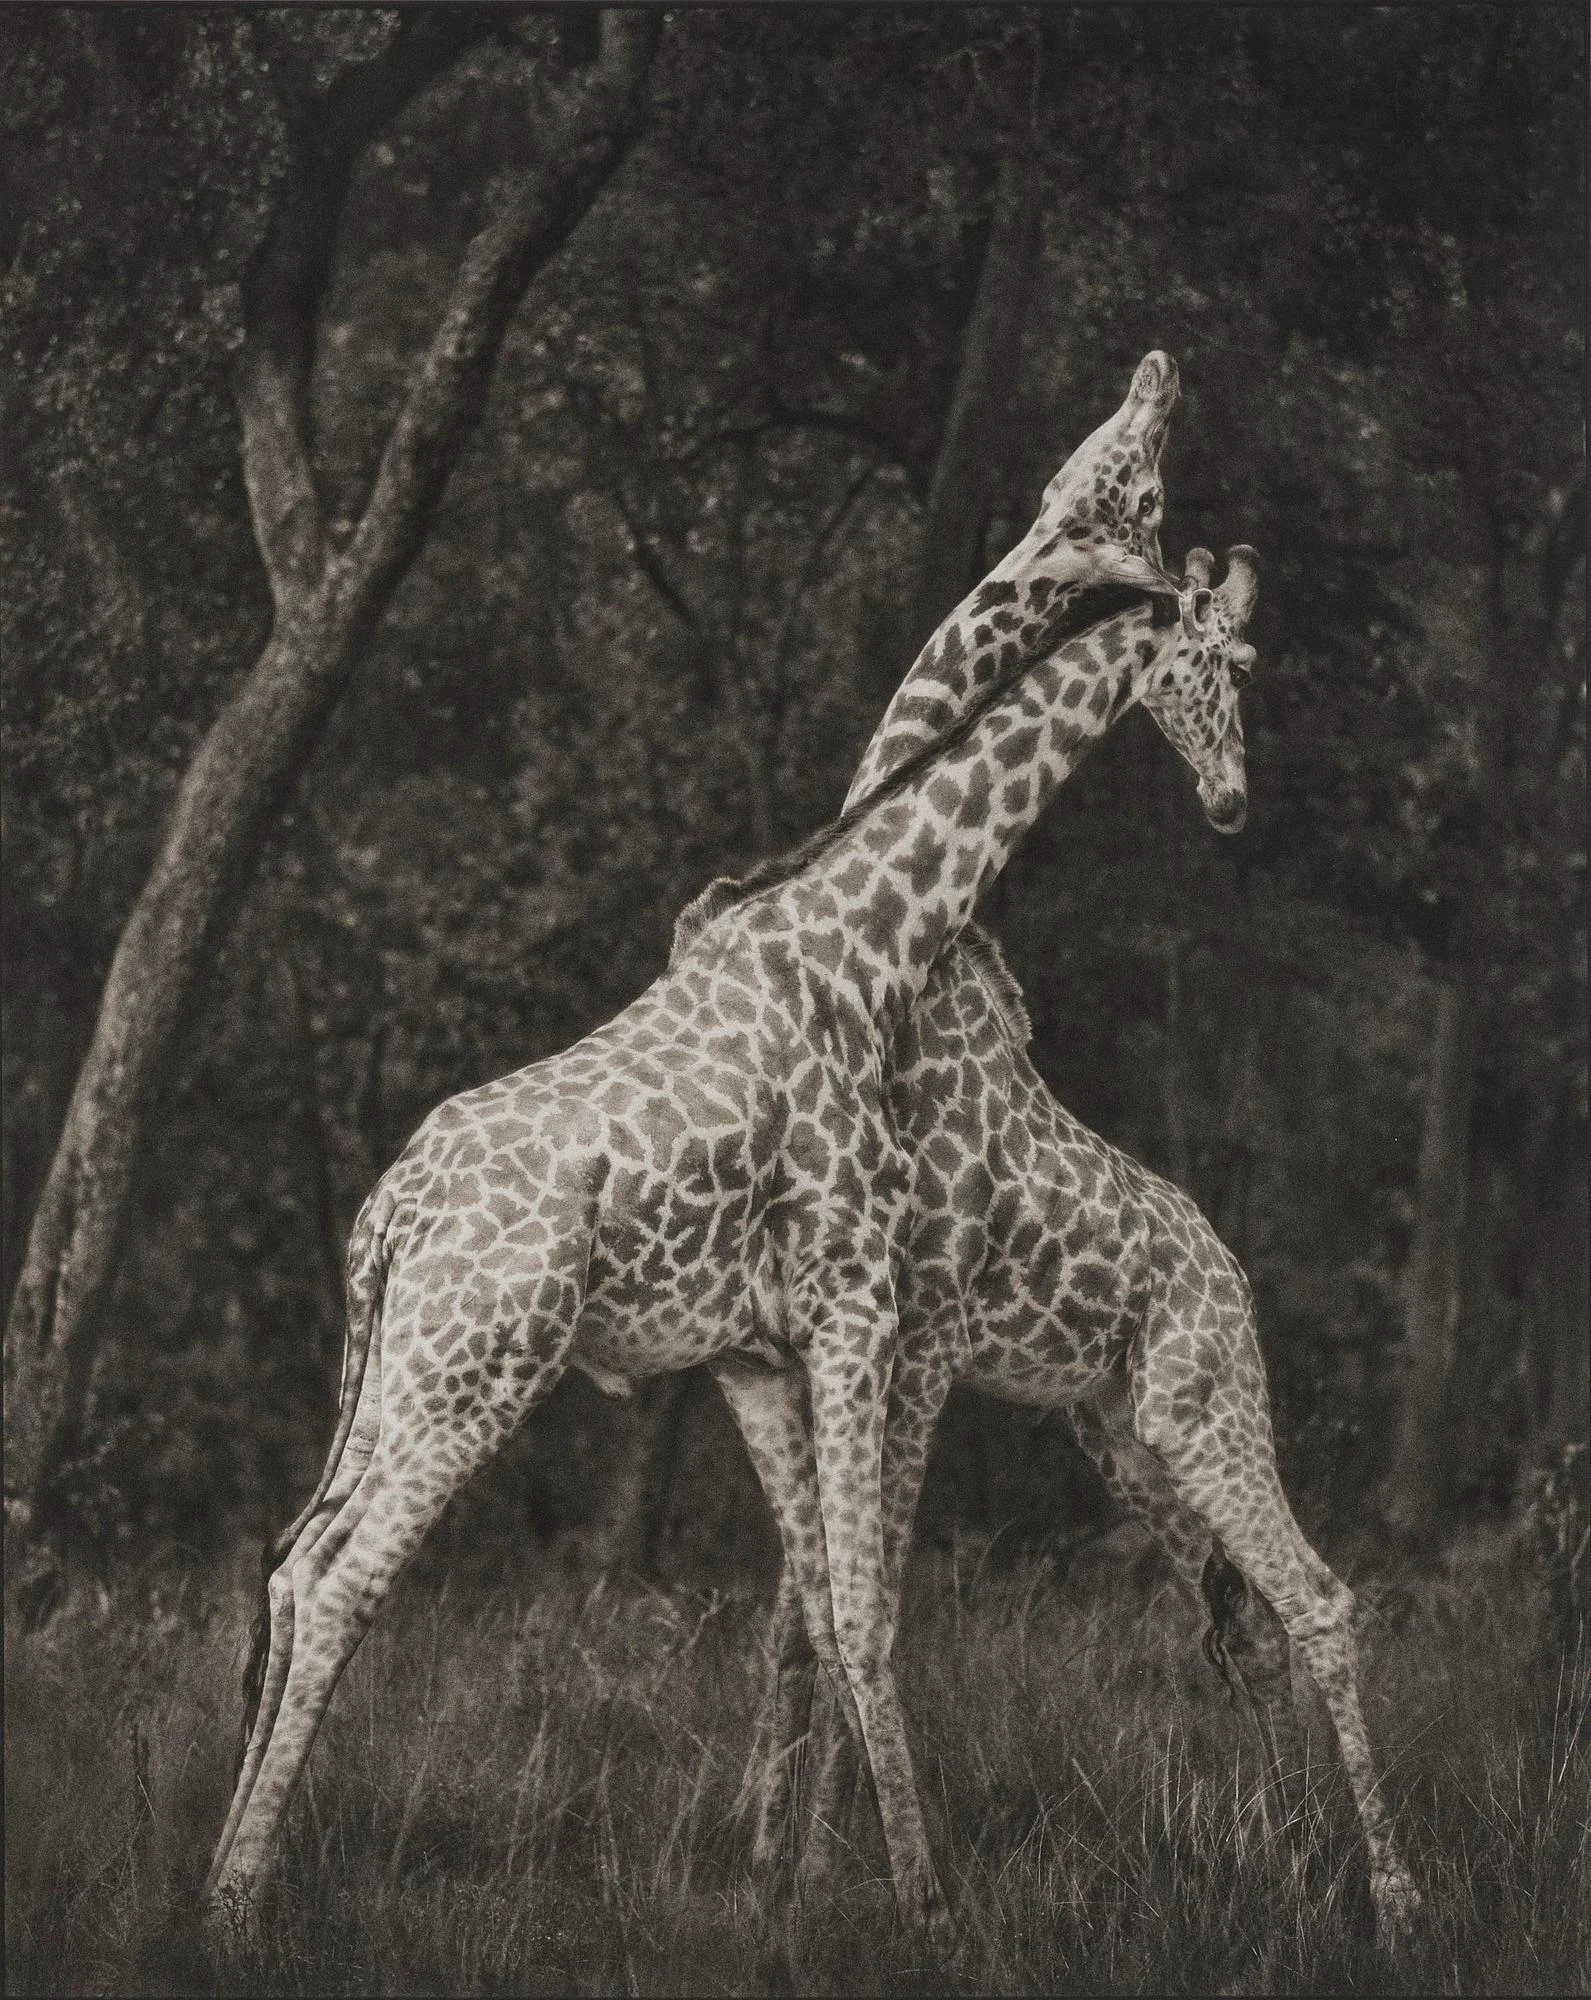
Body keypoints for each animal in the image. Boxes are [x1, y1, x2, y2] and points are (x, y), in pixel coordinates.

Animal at [203, 356, 1187, 1941]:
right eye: (1121, 477)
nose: (1160, 370)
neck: (870, 939)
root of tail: (386, 1216)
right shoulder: (863, 1318)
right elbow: (841, 1609)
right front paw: (870, 1887)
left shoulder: (782, 1344)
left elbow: (808, 1612)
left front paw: (787, 1875)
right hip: (473, 1369)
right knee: (341, 1578)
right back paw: (239, 1893)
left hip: (402, 1374)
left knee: (293, 1568)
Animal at [685, 547, 1421, 1935]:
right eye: (1234, 662)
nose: (1231, 801)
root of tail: (1234, 1280)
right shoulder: (864, 1337)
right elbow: (813, 1611)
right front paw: (787, 1865)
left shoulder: (913, 1335)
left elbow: (861, 1602)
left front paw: (827, 1867)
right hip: (1131, 1439)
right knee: (1242, 1627)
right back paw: (1295, 1862)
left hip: (1206, 1410)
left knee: (1316, 1596)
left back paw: (1395, 1897)